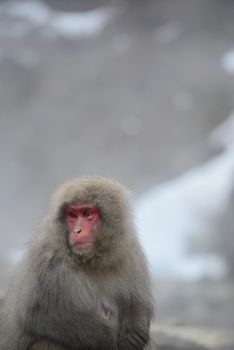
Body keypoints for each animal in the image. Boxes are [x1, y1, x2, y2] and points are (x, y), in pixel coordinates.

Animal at [0, 178, 154, 350]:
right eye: (72, 215)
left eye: (87, 214)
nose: (77, 231)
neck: (92, 260)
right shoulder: (47, 259)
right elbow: (42, 313)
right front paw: (111, 338)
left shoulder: (129, 250)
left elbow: (137, 301)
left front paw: (132, 334)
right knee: (47, 341)